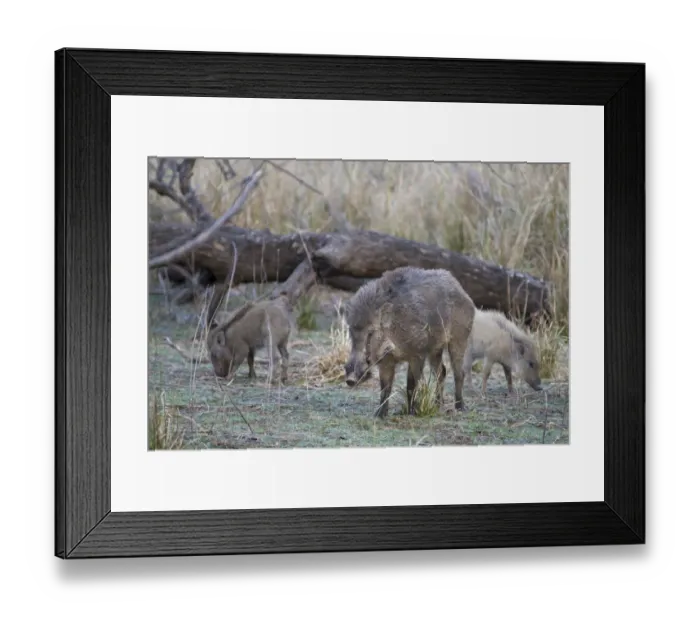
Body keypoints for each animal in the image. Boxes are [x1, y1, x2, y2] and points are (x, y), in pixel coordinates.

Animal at [342, 266, 476, 418]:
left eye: (371, 331)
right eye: (351, 331)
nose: (350, 380)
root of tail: (461, 290)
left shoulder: (417, 354)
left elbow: (411, 384)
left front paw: (410, 413)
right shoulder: (387, 360)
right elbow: (385, 387)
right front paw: (379, 415)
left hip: (459, 338)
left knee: (459, 373)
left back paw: (460, 407)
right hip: (436, 349)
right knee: (441, 372)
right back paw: (437, 405)